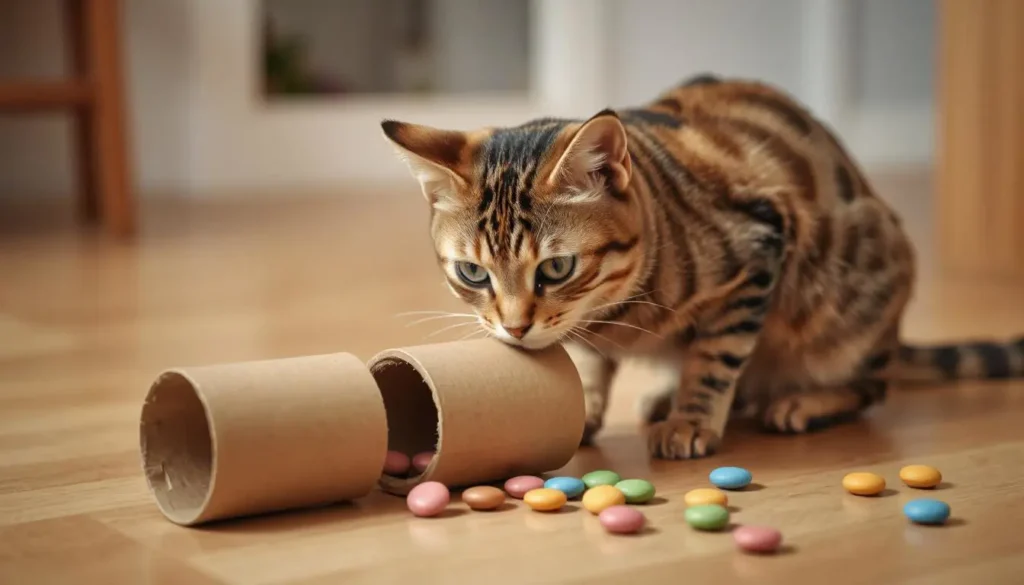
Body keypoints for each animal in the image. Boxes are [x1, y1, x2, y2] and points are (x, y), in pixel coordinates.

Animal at [378, 73, 1024, 461]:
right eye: (473, 274)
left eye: (556, 268)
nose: (514, 328)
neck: (617, 314)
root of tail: (893, 338)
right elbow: (586, 365)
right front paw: (586, 408)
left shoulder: (759, 250)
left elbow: (717, 357)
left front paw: (692, 419)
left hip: (848, 308)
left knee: (870, 386)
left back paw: (800, 401)